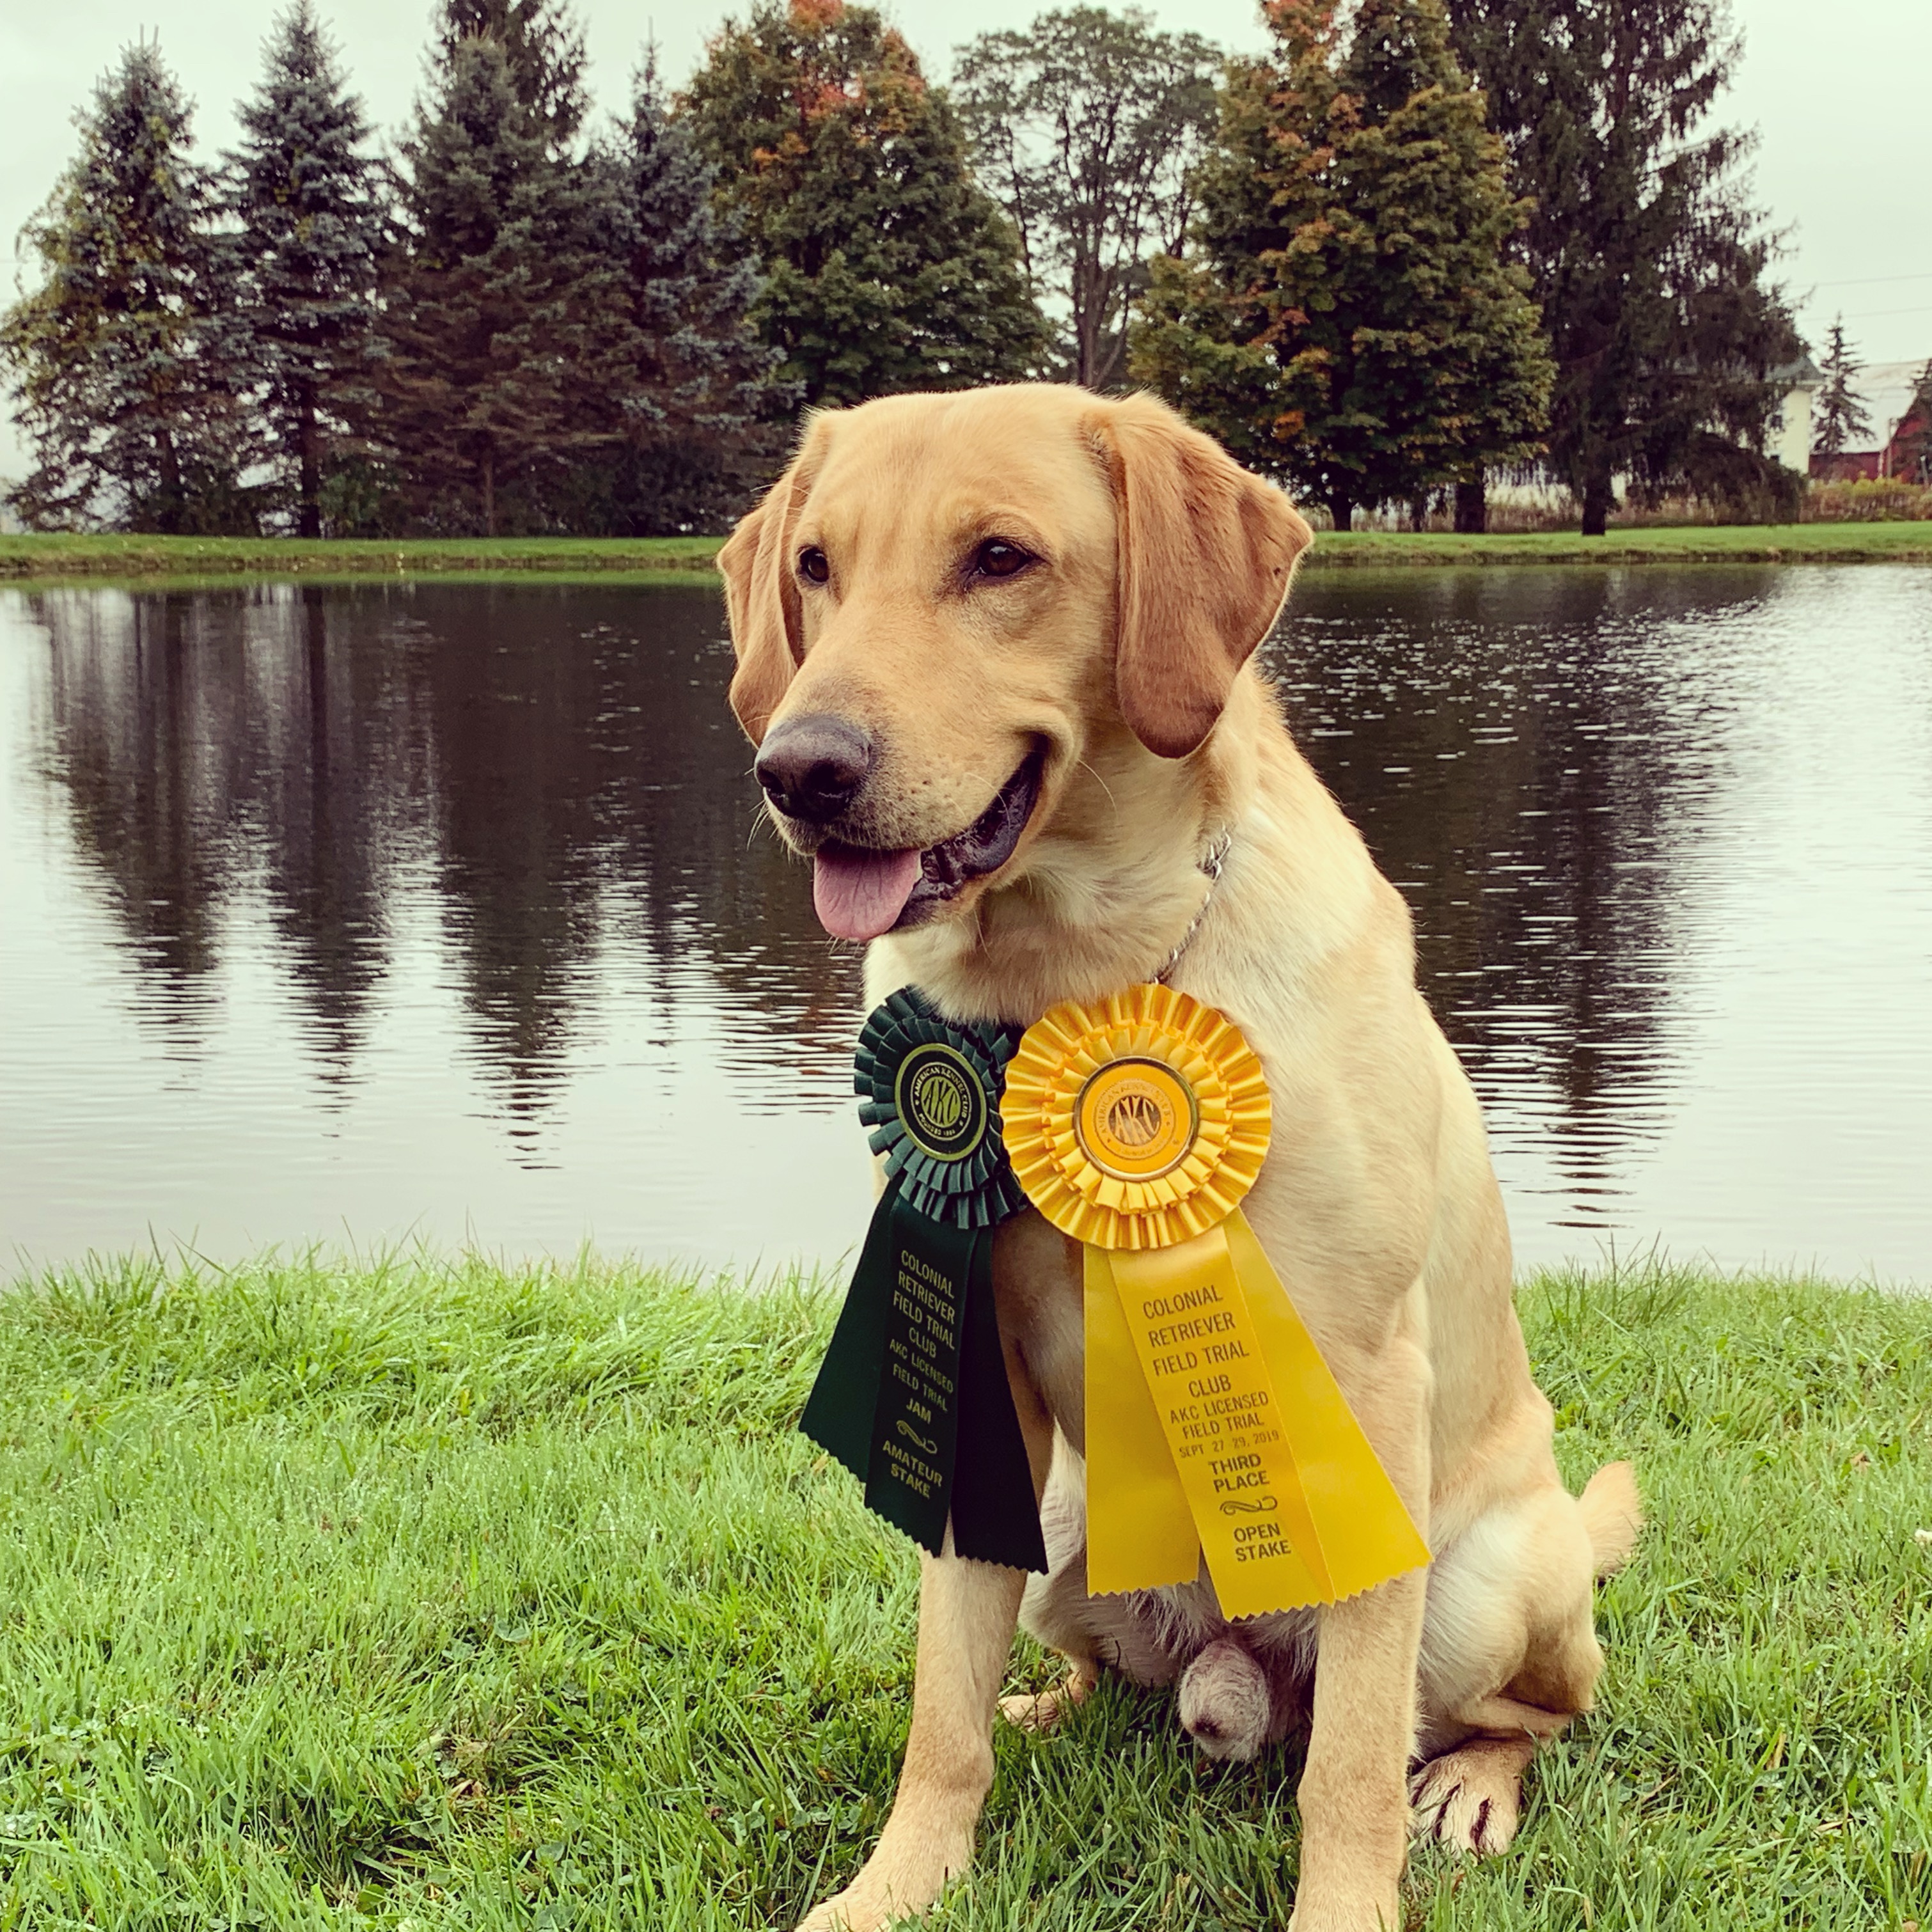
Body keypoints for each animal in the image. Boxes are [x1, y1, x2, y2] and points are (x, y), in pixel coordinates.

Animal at [718, 384, 1638, 1924]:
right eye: (815, 568)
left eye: (999, 558)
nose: (800, 770)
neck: (1075, 984)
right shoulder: (969, 1373)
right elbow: (938, 1705)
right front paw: (901, 1882)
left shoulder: (1366, 1388)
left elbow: (1349, 1767)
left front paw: (1346, 1906)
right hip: (1062, 1525)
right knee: (1094, 1671)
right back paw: (1052, 1706)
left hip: (1488, 1578)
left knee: (1513, 1713)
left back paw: (1468, 1786)